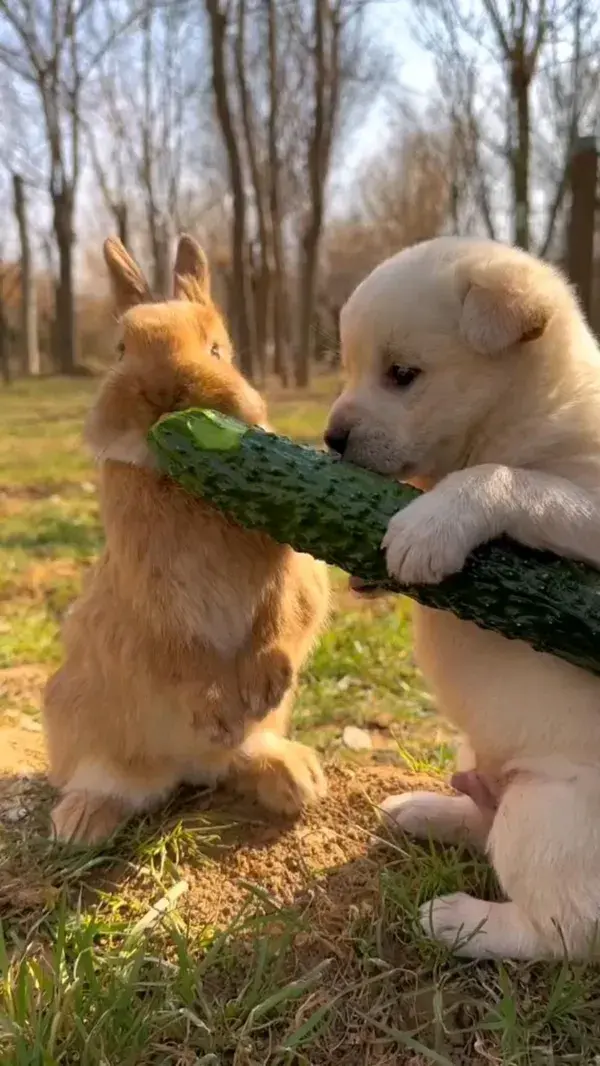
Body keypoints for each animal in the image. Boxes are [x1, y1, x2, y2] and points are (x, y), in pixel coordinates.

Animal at [42, 237, 330, 844]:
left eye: (219, 350)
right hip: (85, 720)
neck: (182, 479)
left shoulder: (292, 570)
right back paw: (82, 821)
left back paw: (294, 778)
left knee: (244, 755)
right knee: (116, 780)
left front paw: (261, 685)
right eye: (120, 349)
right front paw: (217, 710)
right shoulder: (150, 598)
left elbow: (283, 617)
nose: (163, 391)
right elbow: (179, 653)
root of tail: (190, 766)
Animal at [326, 237, 600, 963]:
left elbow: (510, 479)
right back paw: (425, 810)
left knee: (563, 930)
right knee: (482, 819)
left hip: (544, 812)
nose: (330, 439)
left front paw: (429, 526)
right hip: (477, 756)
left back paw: (456, 920)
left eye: (402, 374)